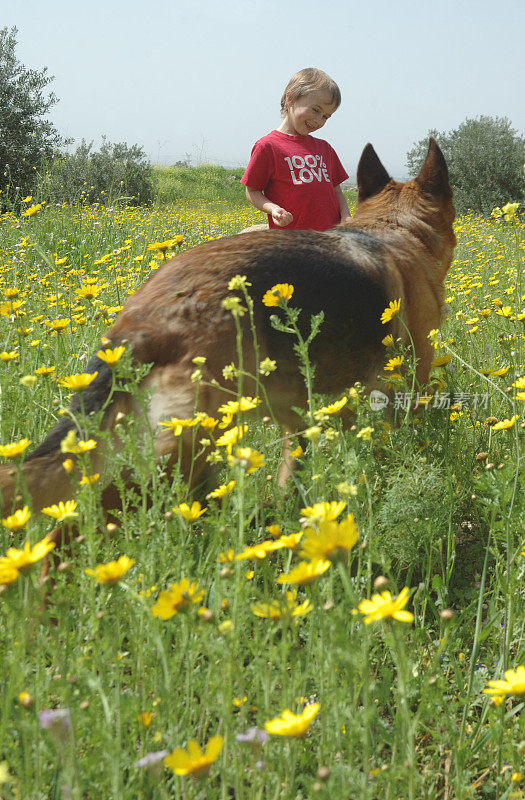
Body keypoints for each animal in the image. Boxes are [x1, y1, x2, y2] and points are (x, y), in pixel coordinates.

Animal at [0, 138, 454, 524]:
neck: (394, 229)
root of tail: (145, 314)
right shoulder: (411, 375)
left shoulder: (297, 410)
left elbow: (297, 457)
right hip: (187, 444)